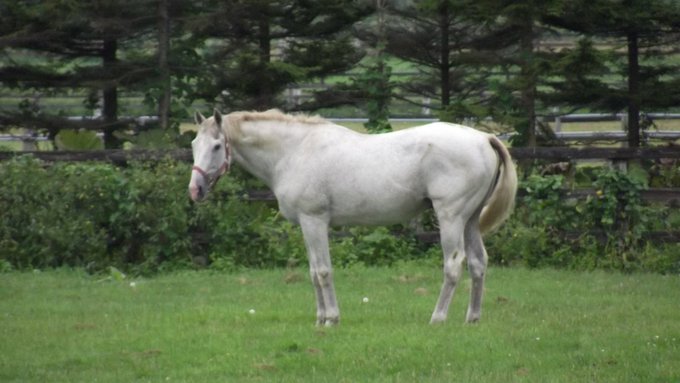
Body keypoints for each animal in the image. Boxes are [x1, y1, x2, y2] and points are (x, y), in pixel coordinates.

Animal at [189, 109, 516, 328]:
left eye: (216, 146)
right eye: (194, 144)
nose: (195, 189)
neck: (295, 151)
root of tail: (484, 138)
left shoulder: (314, 221)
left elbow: (323, 271)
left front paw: (331, 319)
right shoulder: (307, 226)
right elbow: (313, 272)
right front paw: (320, 319)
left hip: (450, 218)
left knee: (454, 264)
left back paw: (437, 318)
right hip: (470, 220)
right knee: (478, 263)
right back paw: (472, 318)